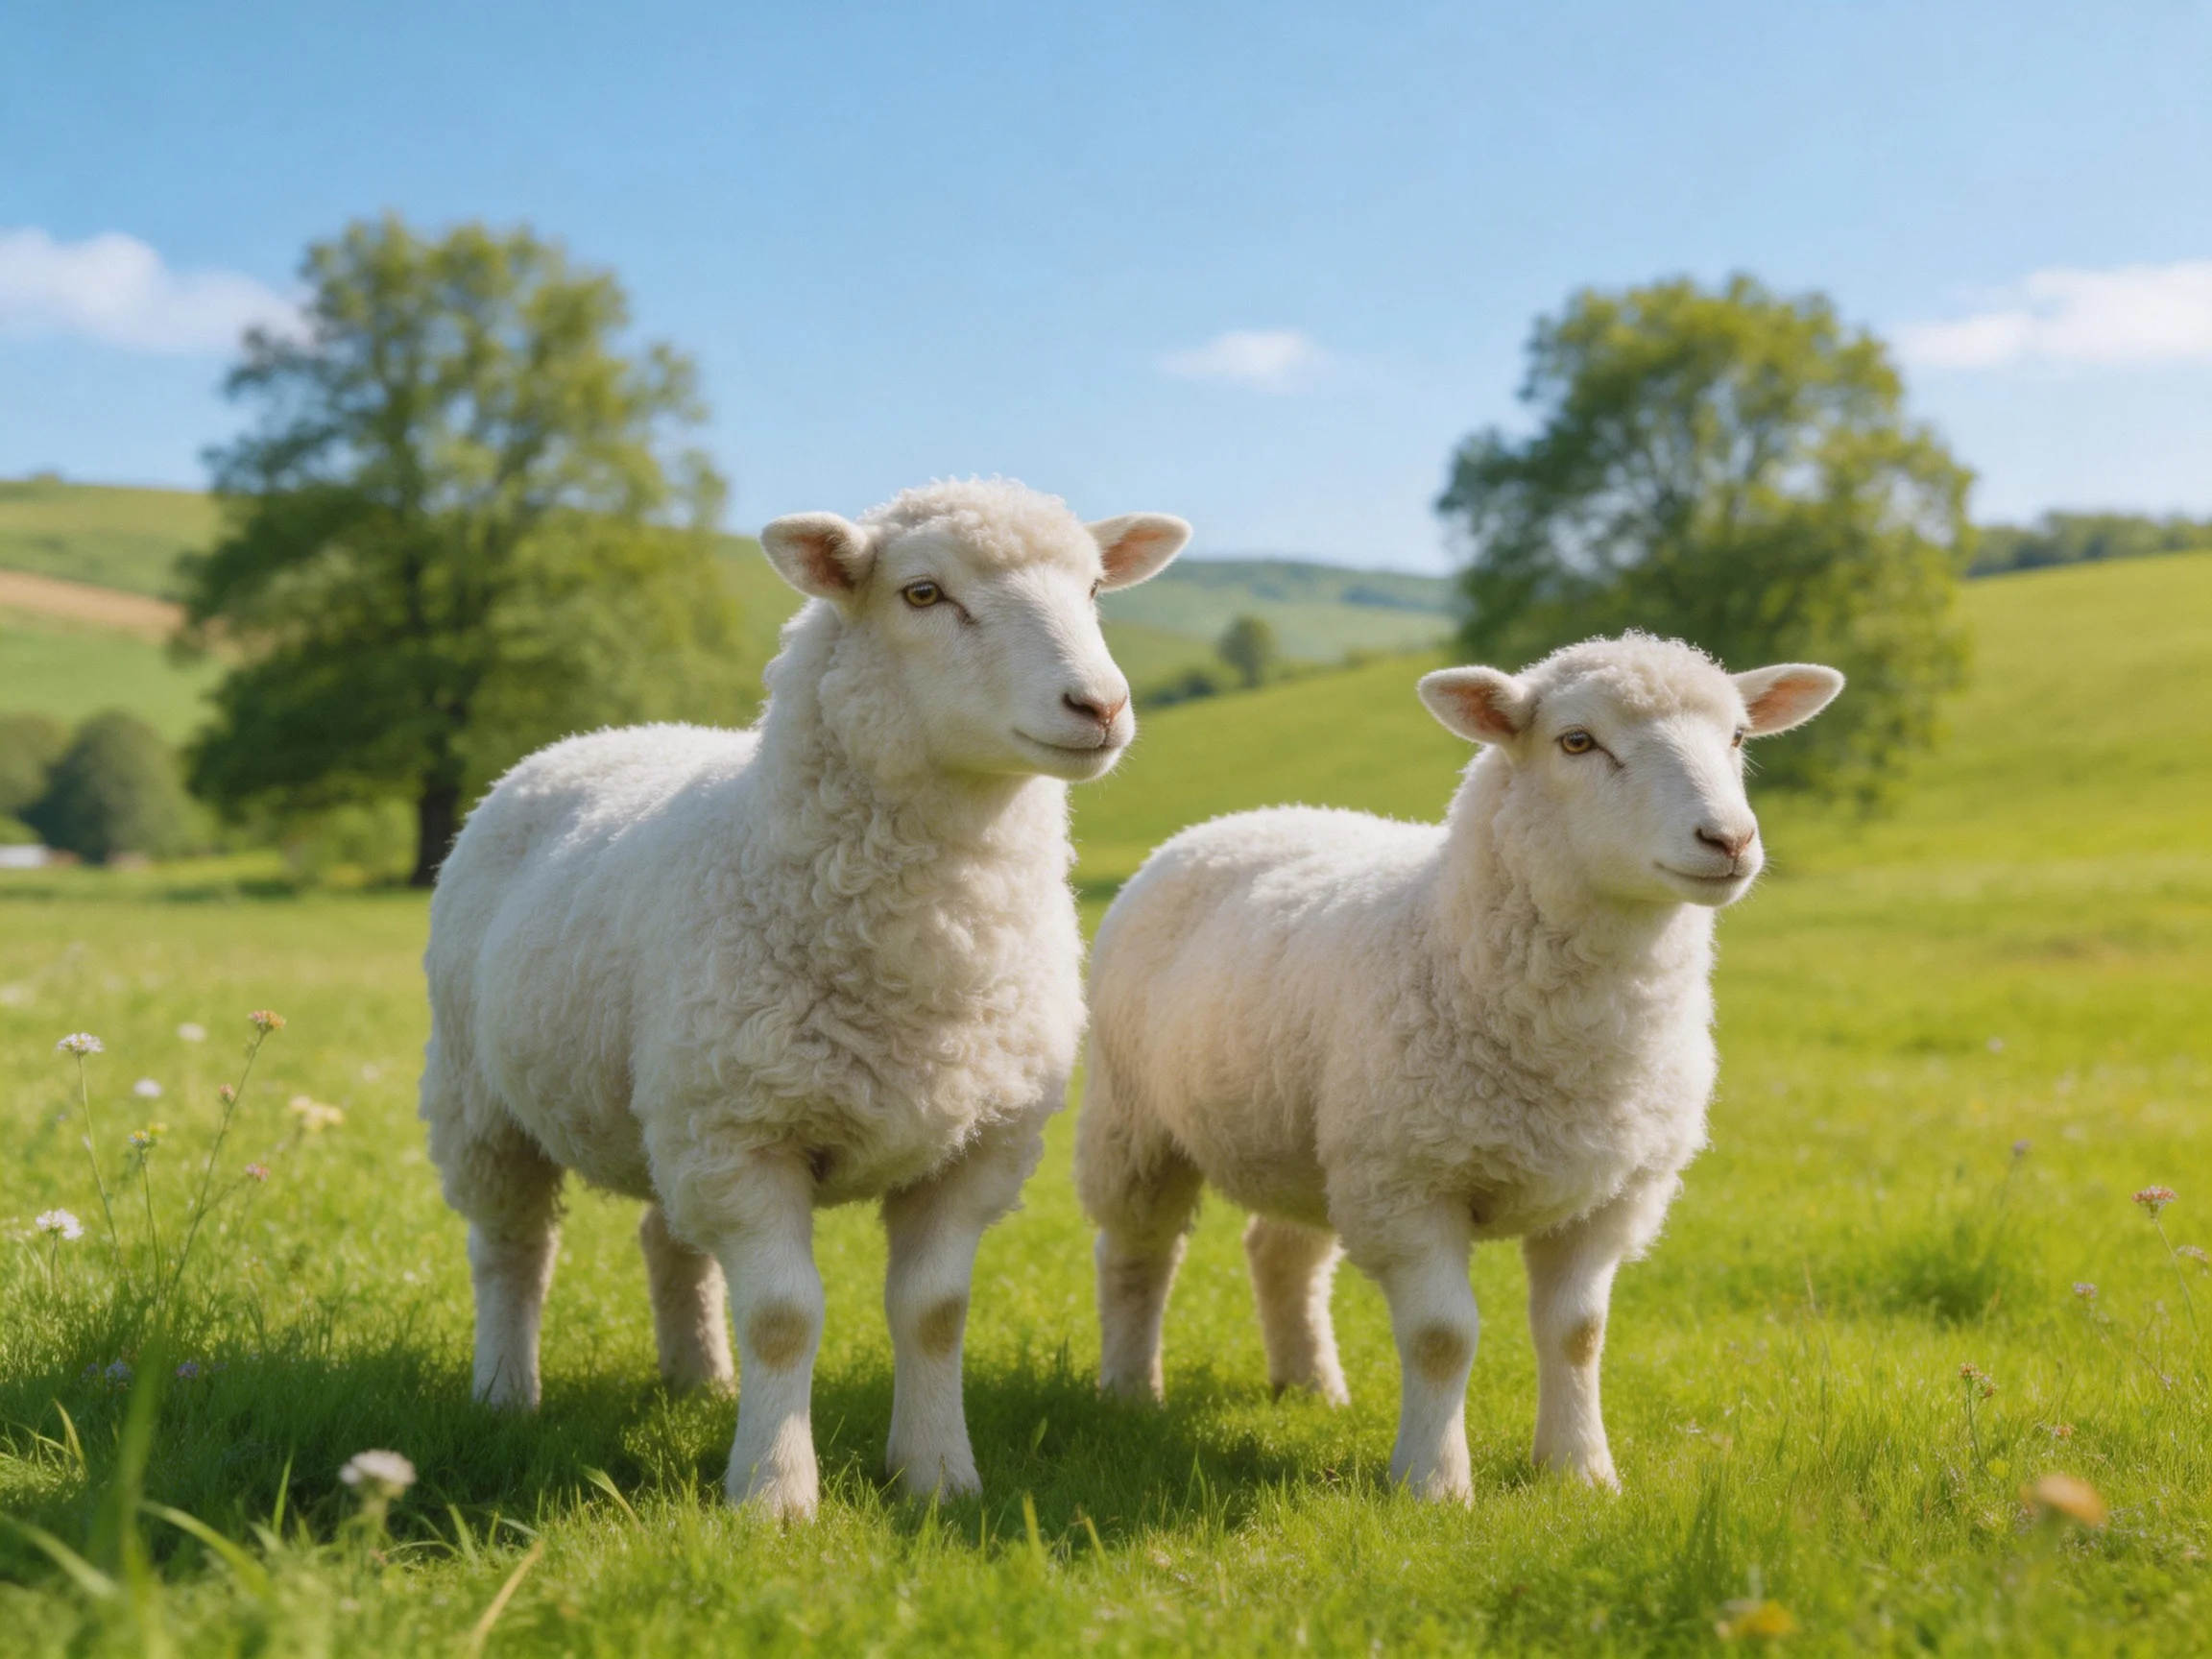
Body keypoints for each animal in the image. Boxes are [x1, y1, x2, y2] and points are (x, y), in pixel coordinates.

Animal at [419, 479, 1189, 1519]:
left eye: (1098, 588)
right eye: (921, 593)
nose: (1099, 704)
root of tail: (601, 737)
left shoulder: (974, 1145)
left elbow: (935, 1314)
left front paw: (937, 1476)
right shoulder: (748, 1135)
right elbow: (785, 1317)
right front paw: (774, 1495)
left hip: (675, 1103)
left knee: (668, 1239)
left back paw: (701, 1378)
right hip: (485, 1097)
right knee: (511, 1250)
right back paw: (506, 1393)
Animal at [1075, 632, 1842, 1500]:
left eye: (1739, 737)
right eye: (1577, 741)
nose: (1730, 841)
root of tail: (1243, 817)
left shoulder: (1610, 1195)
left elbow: (1578, 1334)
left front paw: (1580, 1472)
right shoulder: (1411, 1182)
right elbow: (1443, 1337)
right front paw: (1434, 1485)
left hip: (1308, 1136)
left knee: (1280, 1253)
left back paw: (1311, 1386)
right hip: (1134, 1118)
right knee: (1137, 1253)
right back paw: (1131, 1392)